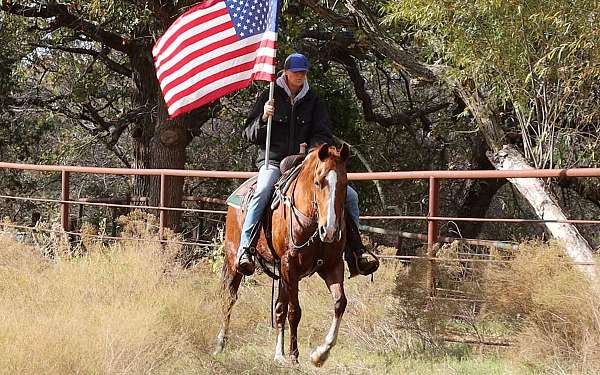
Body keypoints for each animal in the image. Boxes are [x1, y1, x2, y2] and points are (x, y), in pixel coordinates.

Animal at [213, 144, 350, 368]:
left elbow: (340, 303)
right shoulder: (290, 265)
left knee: (278, 308)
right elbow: (294, 311)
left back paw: (279, 353)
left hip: (283, 274)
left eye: (345, 184)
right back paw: (220, 344)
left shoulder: (332, 266)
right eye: (318, 182)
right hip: (234, 260)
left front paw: (321, 354)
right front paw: (295, 356)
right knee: (229, 298)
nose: (329, 230)